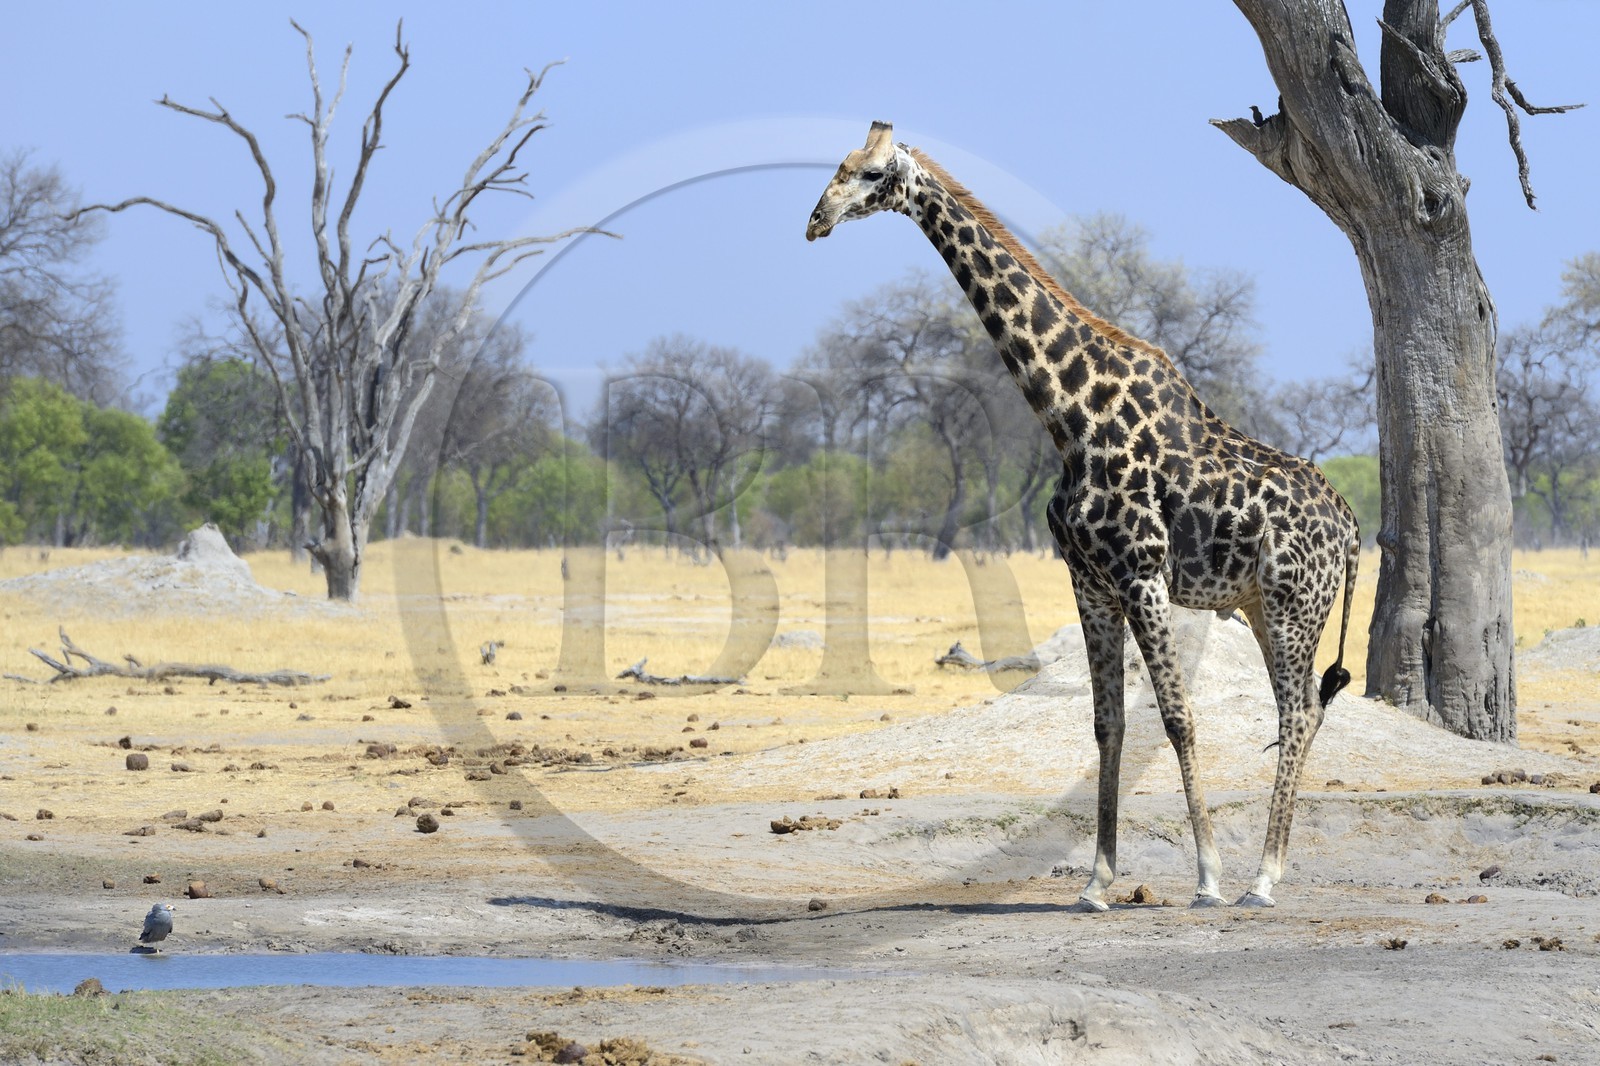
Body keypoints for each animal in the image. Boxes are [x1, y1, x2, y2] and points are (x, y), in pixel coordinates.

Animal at [807, 121, 1360, 909]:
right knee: (1303, 709)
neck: (1067, 417)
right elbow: (1108, 724)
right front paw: (1099, 881)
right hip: (1262, 605)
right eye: (841, 165)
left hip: (1295, 606)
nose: (816, 219)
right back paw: (1268, 869)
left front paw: (1207, 876)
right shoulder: (1090, 581)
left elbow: (1178, 717)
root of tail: (1350, 529)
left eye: (873, 172)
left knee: (1298, 709)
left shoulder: (1143, 575)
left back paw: (1261, 879)